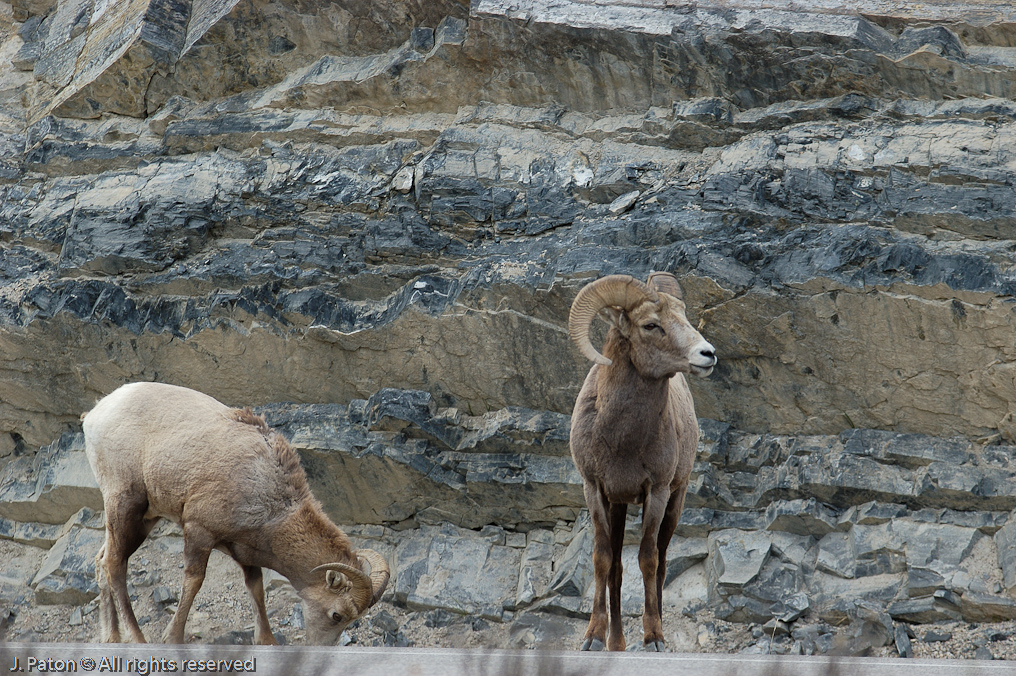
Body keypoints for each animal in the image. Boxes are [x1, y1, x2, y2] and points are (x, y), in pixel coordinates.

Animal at [81, 382, 390, 646]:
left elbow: (256, 587)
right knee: (114, 564)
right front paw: (173, 638)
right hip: (124, 503)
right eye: (336, 615)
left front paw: (267, 640)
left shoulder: (242, 551)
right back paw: (137, 638)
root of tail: (95, 414)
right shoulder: (199, 531)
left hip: (144, 520)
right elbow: (194, 581)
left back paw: (112, 637)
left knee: (102, 560)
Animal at [568, 272, 719, 650]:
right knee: (617, 569)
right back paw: (616, 642)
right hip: (619, 505)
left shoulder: (658, 491)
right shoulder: (595, 489)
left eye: (684, 316)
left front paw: (654, 637)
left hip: (676, 499)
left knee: (663, 562)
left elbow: (648, 560)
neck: (622, 441)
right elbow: (603, 559)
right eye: (651, 324)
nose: (707, 354)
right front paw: (594, 638)